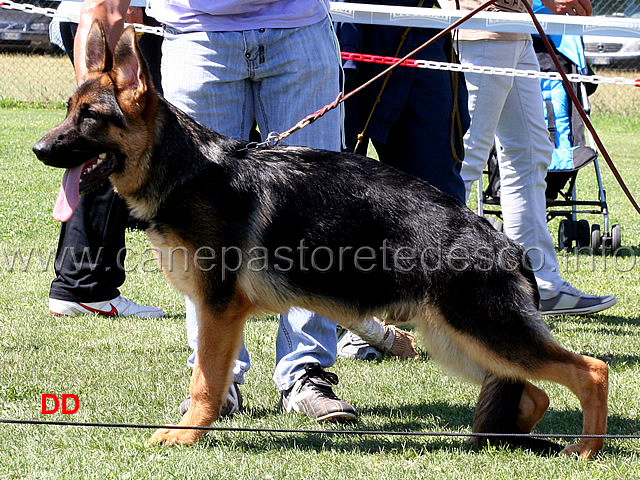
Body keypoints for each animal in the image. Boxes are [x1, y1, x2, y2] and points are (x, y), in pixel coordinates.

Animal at [32, 21, 608, 458]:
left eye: (90, 117)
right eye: (68, 111)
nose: (39, 149)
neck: (184, 172)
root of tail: (503, 242)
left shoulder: (220, 310)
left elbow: (205, 382)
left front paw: (187, 435)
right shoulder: (214, 313)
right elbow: (209, 377)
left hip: (484, 333)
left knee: (590, 371)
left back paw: (584, 450)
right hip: (457, 341)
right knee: (532, 395)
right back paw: (509, 443)